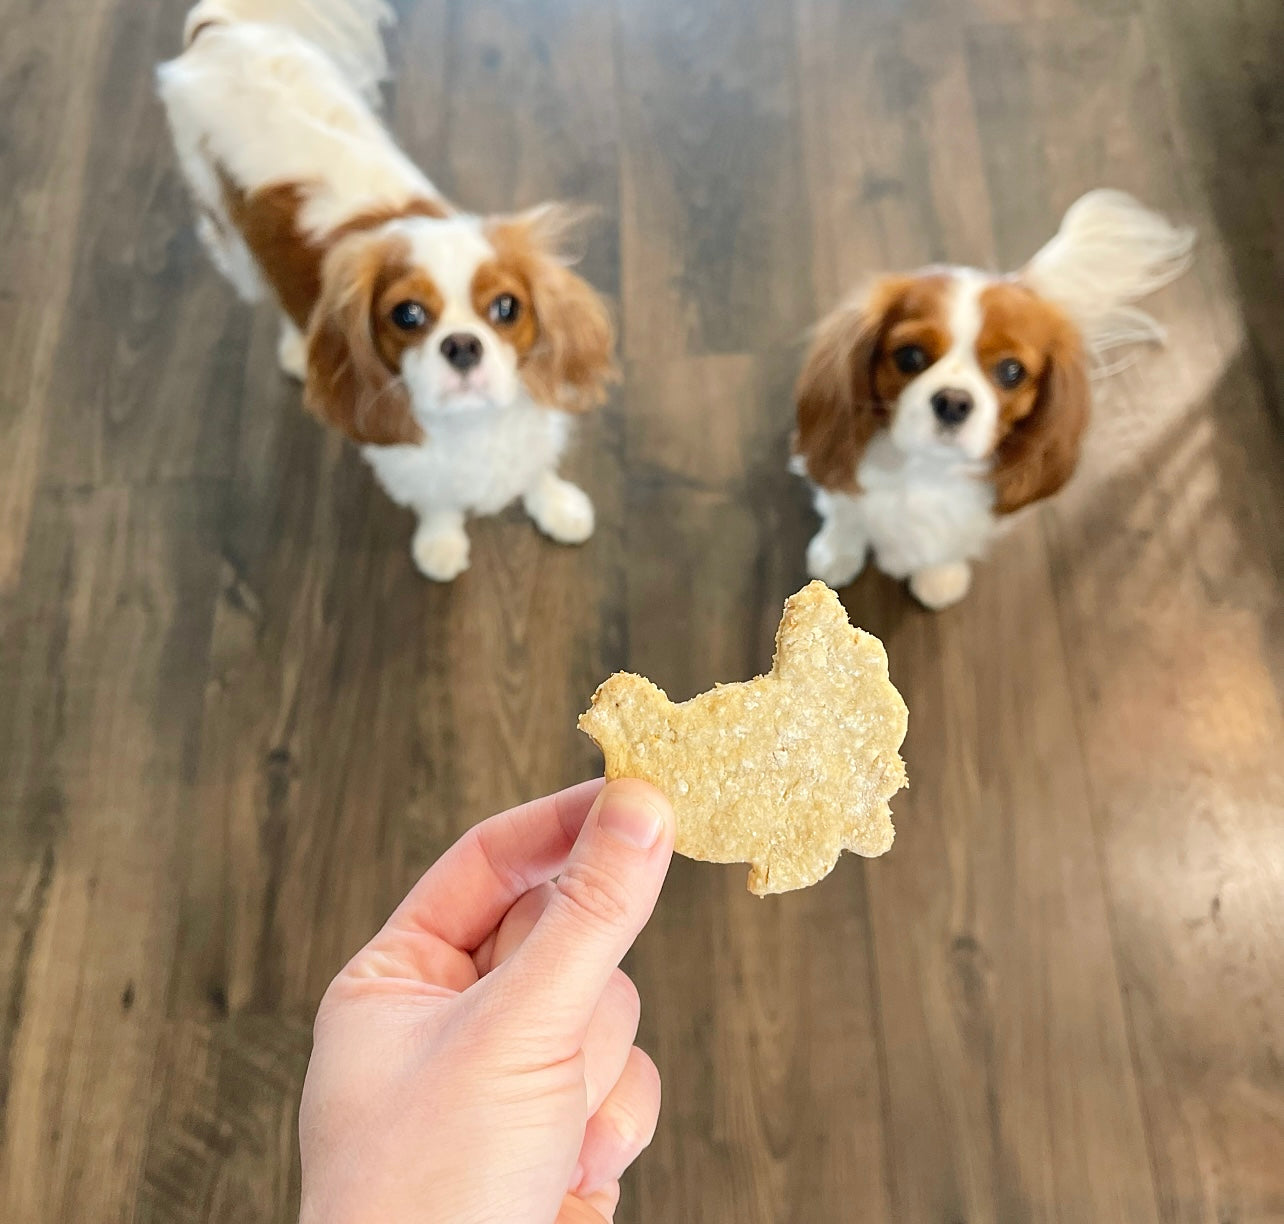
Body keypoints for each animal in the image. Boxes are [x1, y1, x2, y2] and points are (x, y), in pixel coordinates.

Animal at [157, 0, 618, 580]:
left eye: (506, 307)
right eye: (408, 315)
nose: (462, 345)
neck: (474, 426)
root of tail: (222, 31)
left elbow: (536, 468)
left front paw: (556, 506)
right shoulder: (407, 461)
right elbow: (438, 502)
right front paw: (441, 544)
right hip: (230, 239)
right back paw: (297, 348)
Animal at [790, 188, 1191, 608]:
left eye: (1012, 371)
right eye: (909, 356)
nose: (953, 401)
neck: (927, 469)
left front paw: (939, 576)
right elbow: (844, 513)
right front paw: (835, 554)